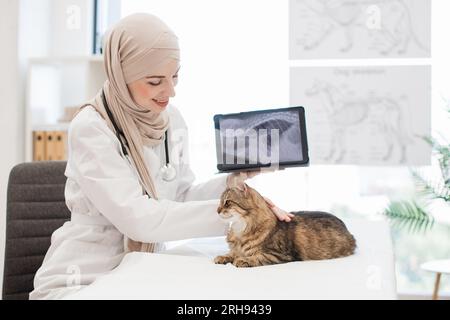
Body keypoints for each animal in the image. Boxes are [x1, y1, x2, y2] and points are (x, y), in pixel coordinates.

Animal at [215, 182, 358, 268]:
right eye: (220, 202)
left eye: (227, 202)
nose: (217, 210)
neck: (240, 229)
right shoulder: (236, 249)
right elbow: (231, 253)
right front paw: (222, 257)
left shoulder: (279, 254)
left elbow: (257, 256)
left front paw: (243, 260)